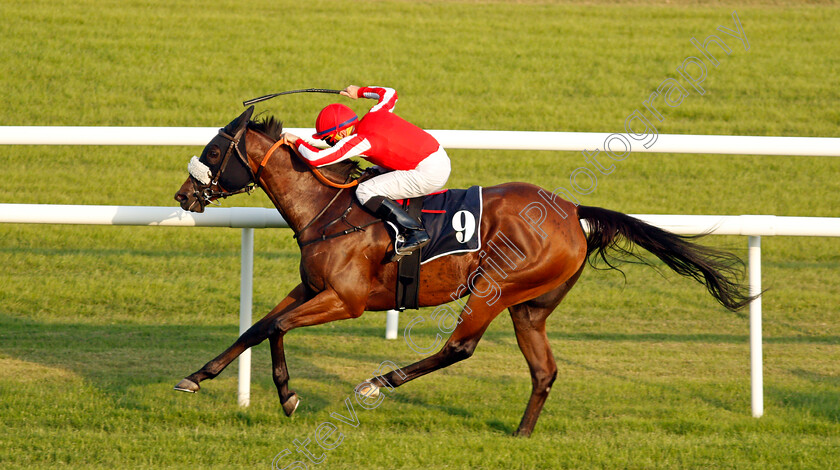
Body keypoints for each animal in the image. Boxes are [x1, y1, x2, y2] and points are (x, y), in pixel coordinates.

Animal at [172, 106, 756, 436]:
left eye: (215, 151)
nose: (182, 195)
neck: (330, 210)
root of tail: (572, 212)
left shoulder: (347, 299)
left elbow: (276, 326)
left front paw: (288, 396)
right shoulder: (310, 286)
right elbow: (257, 326)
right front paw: (196, 377)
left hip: (495, 288)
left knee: (460, 347)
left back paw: (378, 383)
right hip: (530, 307)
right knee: (544, 371)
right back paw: (521, 435)